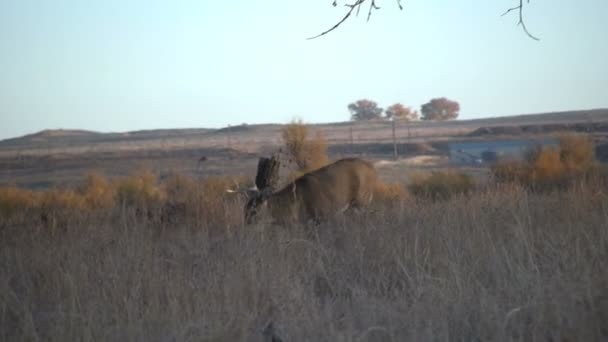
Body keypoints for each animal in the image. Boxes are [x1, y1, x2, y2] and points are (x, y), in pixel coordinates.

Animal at [228, 157, 378, 226]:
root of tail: (372, 168)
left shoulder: (321, 215)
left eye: (254, 210)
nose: (247, 223)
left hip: (361, 202)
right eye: (244, 208)